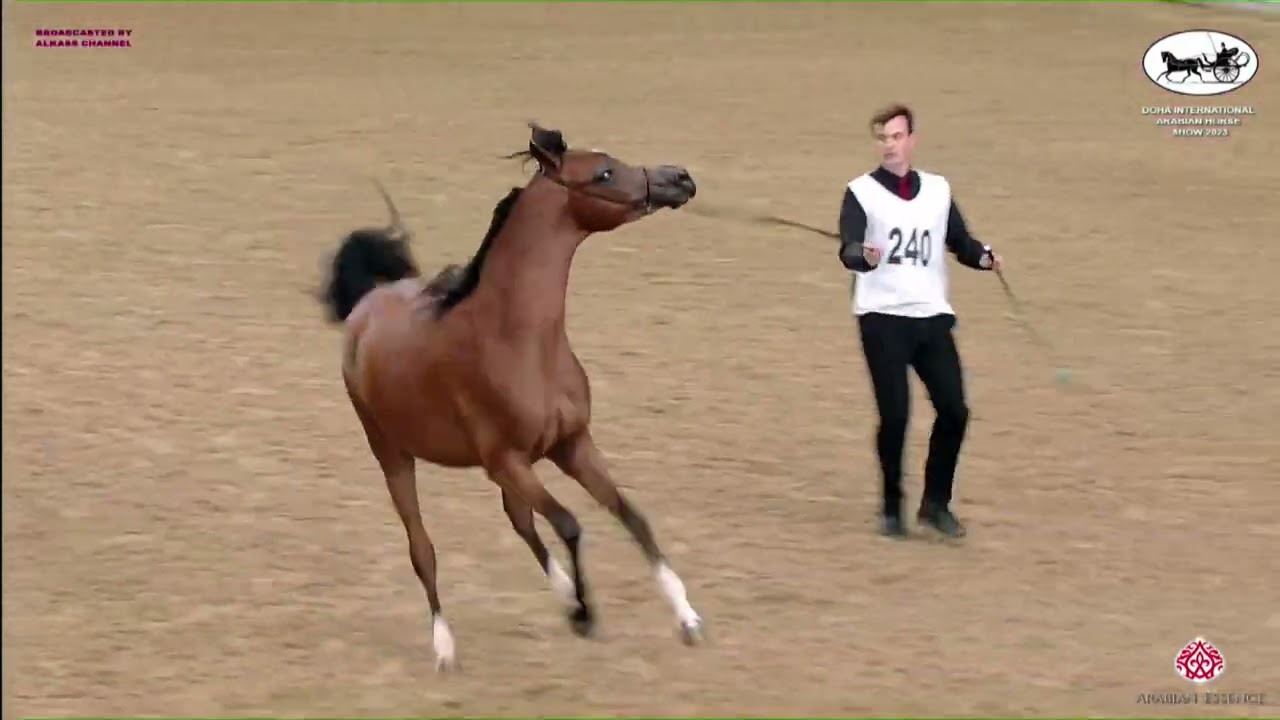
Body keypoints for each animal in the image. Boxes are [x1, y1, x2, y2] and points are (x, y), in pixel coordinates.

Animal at [318, 123, 704, 671]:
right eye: (604, 174)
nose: (680, 178)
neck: (521, 340)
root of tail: (367, 303)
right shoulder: (509, 459)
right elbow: (569, 524)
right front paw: (586, 614)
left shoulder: (571, 445)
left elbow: (631, 516)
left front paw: (686, 617)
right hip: (392, 454)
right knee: (423, 549)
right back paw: (445, 648)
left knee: (519, 519)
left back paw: (561, 598)